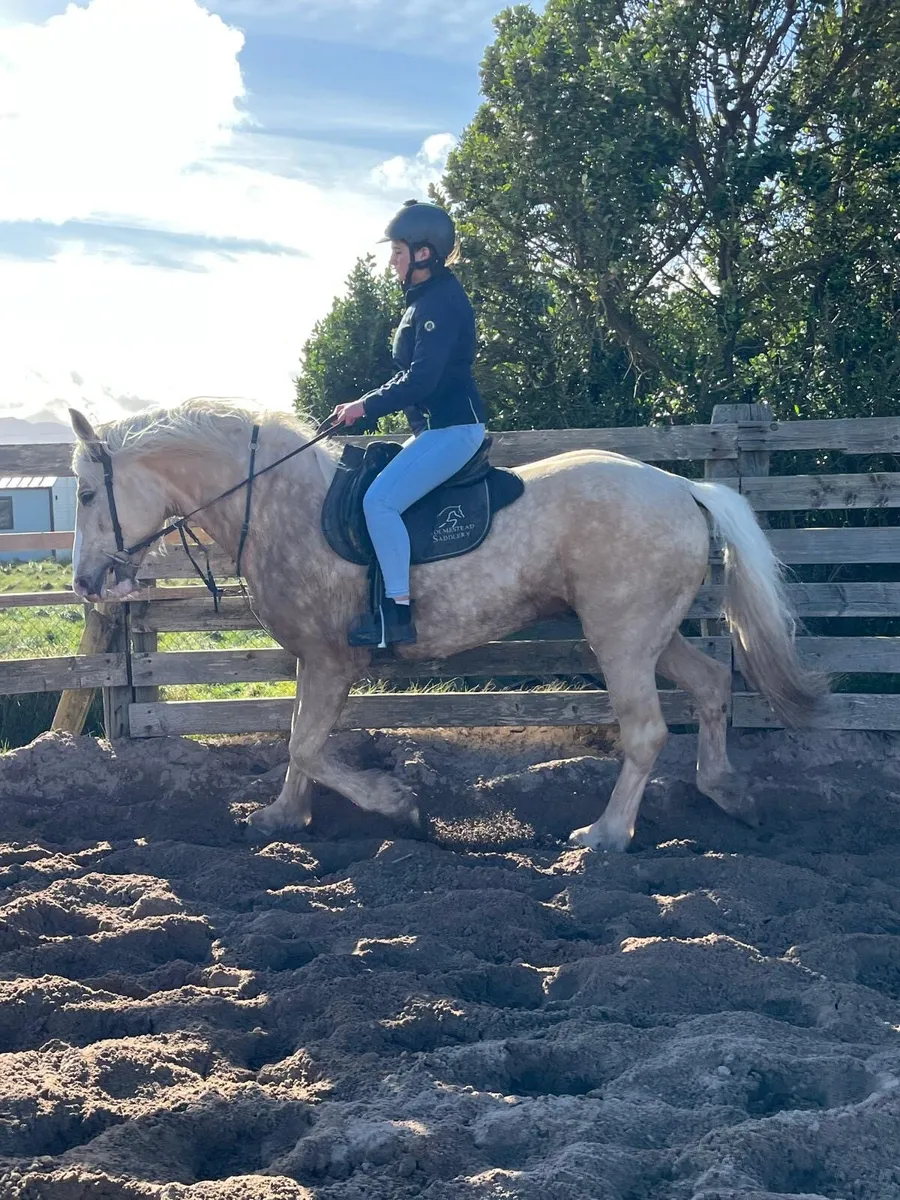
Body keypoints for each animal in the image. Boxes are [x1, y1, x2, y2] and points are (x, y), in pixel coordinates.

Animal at [67, 399, 827, 852]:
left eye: (84, 493)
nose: (85, 582)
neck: (281, 501)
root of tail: (686, 487)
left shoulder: (332, 660)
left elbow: (306, 746)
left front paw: (395, 803)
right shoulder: (317, 661)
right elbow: (298, 744)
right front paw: (284, 818)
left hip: (623, 639)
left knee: (646, 731)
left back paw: (606, 834)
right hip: (653, 635)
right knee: (712, 686)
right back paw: (728, 793)